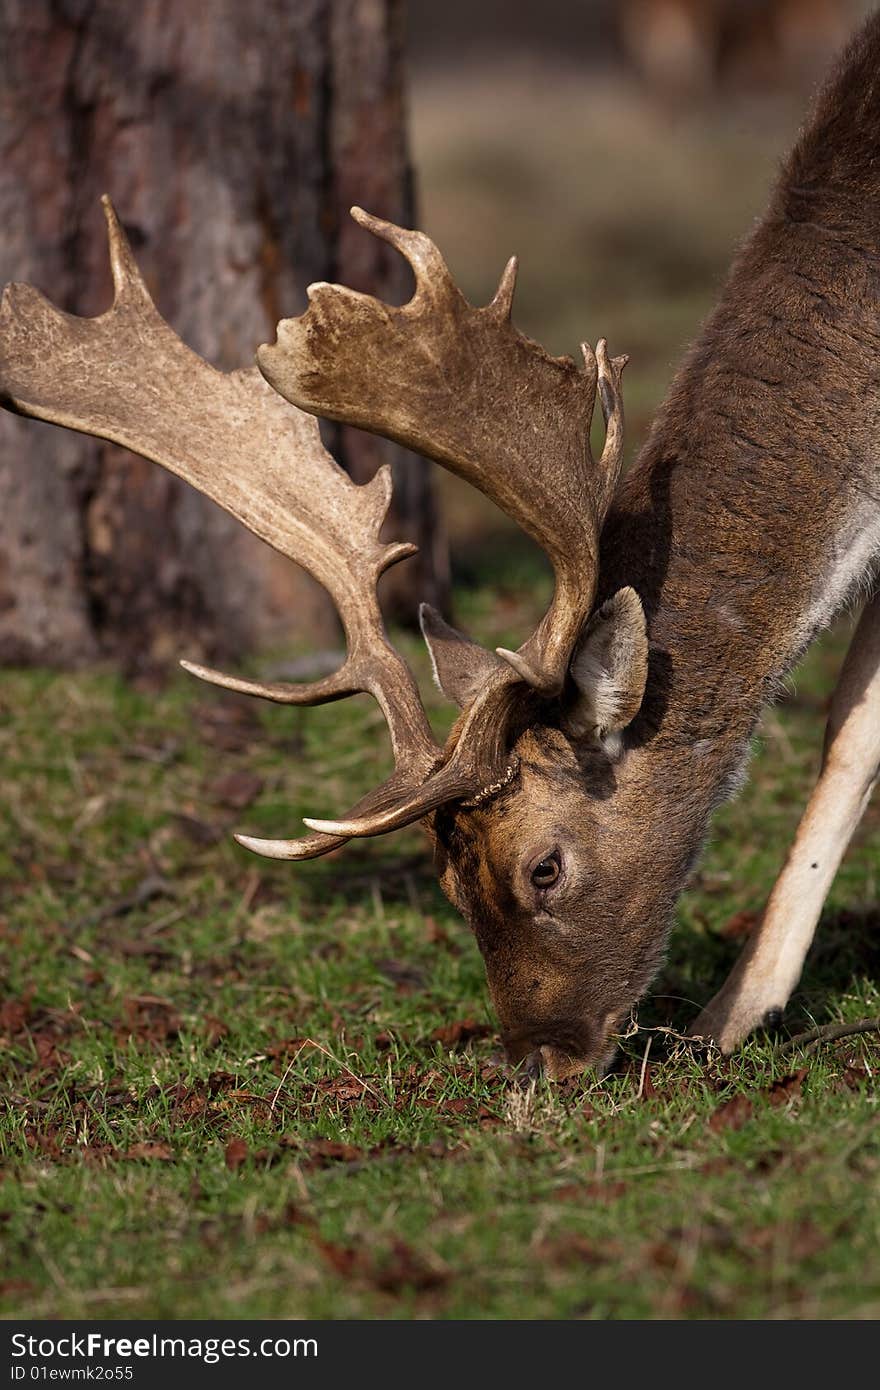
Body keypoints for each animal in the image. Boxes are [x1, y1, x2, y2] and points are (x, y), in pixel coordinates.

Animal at [1, 8, 878, 1084]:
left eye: (545, 866)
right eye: (450, 882)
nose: (540, 1061)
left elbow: (853, 720)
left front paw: (732, 1013)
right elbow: (854, 721)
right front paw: (729, 1017)